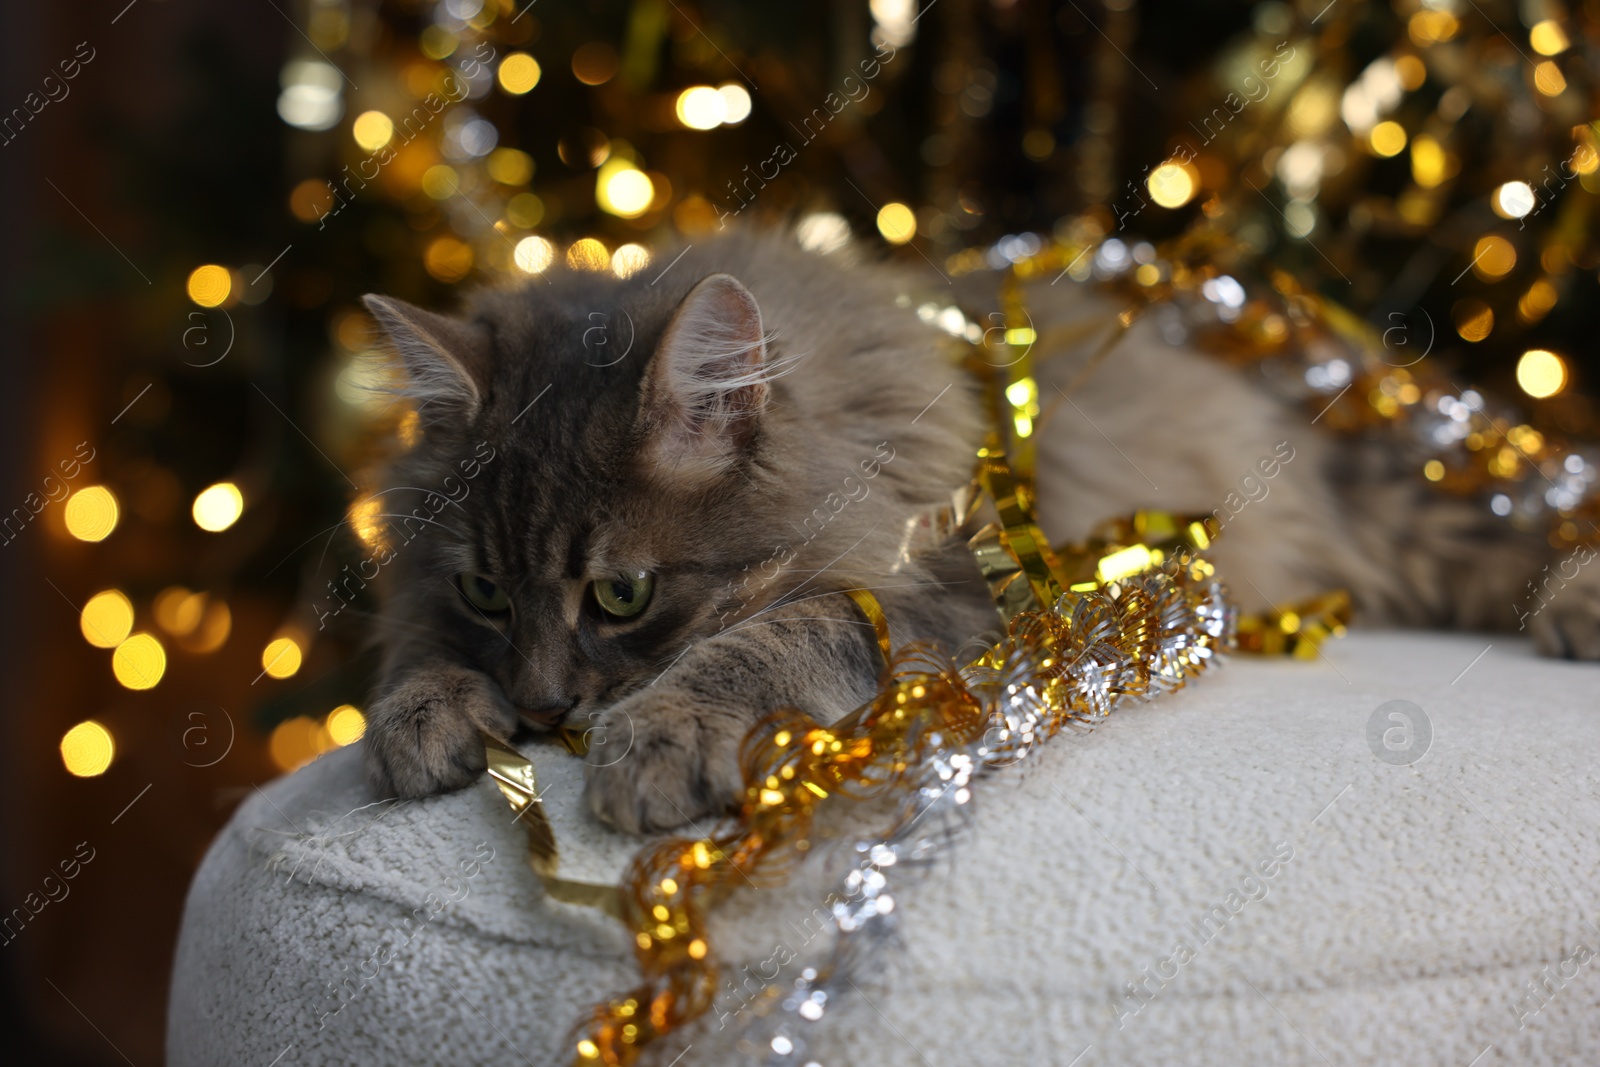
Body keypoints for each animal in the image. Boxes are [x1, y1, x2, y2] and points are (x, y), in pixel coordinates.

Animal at [366, 231, 1600, 831]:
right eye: (487, 592)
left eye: (621, 596)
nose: (540, 711)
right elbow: (409, 650)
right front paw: (420, 718)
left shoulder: (943, 588)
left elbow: (767, 635)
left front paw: (660, 736)